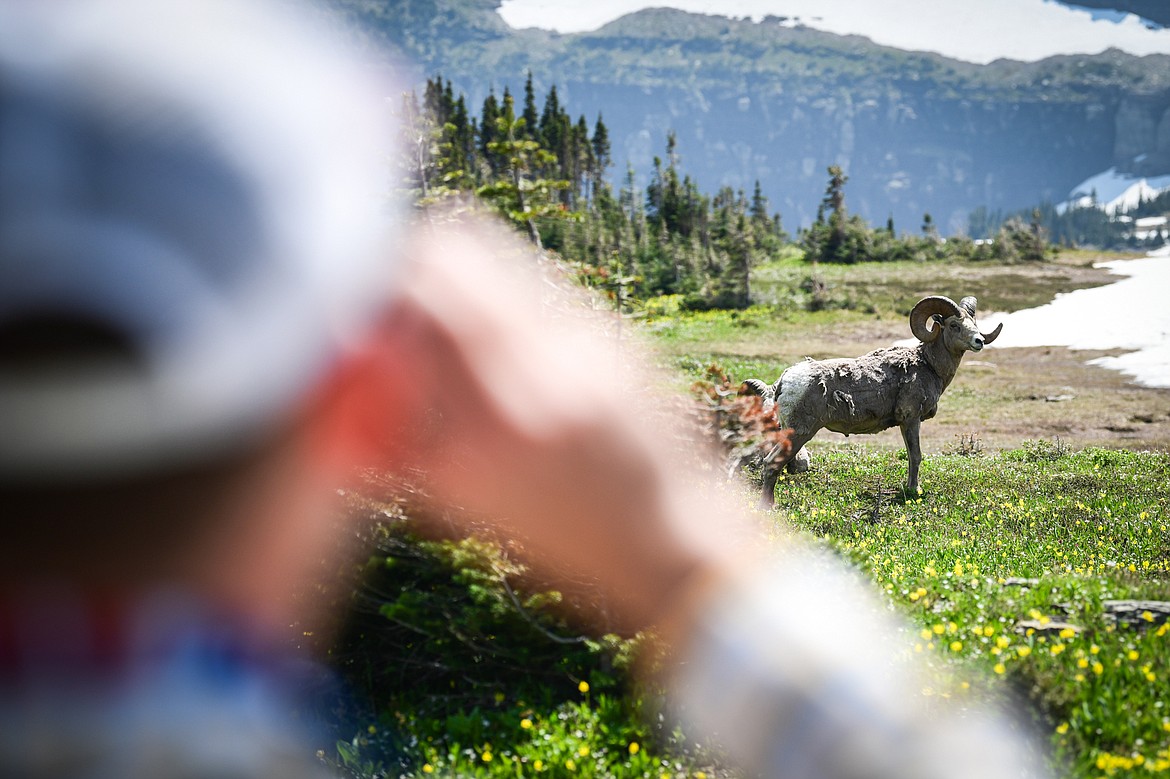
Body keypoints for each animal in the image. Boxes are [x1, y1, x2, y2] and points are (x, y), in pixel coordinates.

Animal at [744, 294, 1001, 507]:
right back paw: (768, 506)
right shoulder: (912, 419)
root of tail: (785, 380)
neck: (929, 365)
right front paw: (914, 491)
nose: (979, 341)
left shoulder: (905, 424)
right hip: (799, 433)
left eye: (974, 324)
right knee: (771, 463)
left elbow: (910, 456)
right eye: (954, 325)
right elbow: (916, 456)